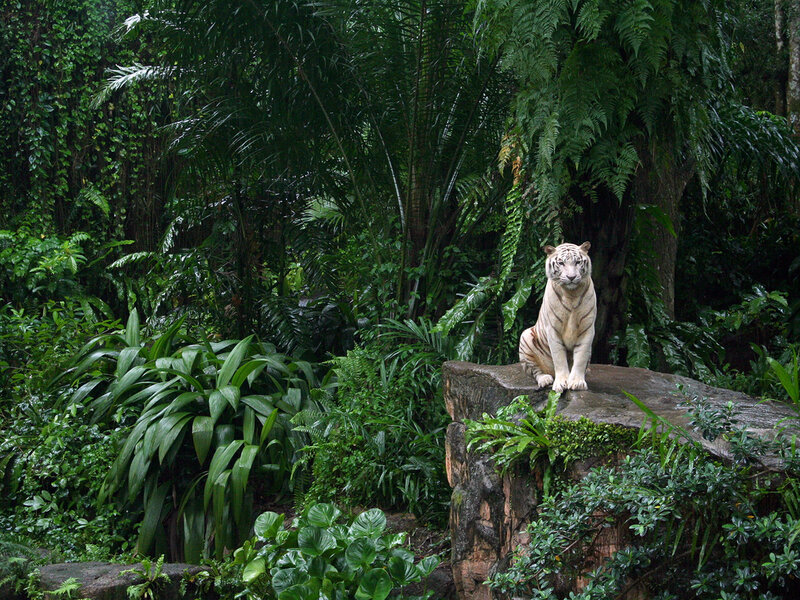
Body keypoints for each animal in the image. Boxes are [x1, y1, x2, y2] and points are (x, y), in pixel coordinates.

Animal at [518, 241, 596, 392]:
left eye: (577, 262)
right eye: (561, 263)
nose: (571, 277)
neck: (571, 294)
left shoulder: (587, 328)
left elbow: (581, 357)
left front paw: (577, 382)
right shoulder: (553, 329)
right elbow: (559, 358)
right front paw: (561, 383)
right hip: (525, 337)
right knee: (535, 371)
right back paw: (545, 379)